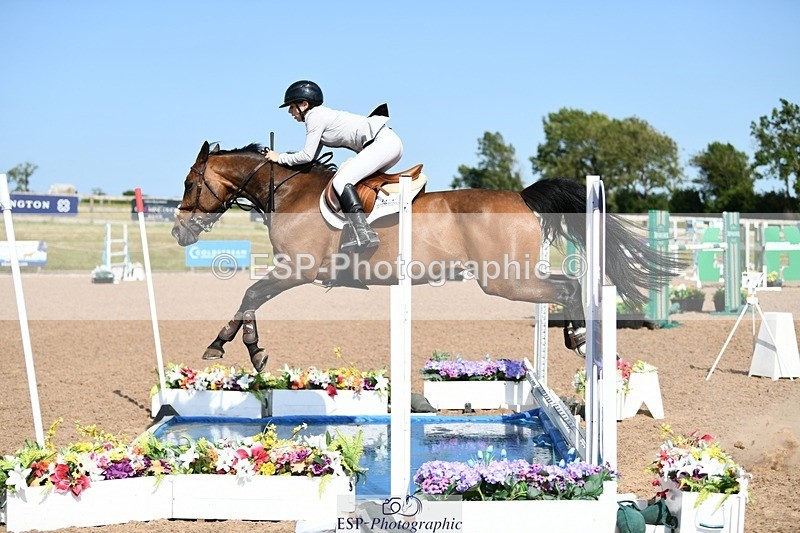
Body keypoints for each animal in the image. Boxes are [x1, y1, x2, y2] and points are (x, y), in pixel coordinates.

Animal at [171, 141, 678, 372]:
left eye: (190, 183)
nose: (178, 231)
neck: (288, 192)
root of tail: (520, 195)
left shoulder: (297, 270)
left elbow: (250, 293)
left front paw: (232, 346)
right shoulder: (290, 272)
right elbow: (251, 297)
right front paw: (244, 347)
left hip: (505, 279)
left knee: (568, 285)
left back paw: (578, 337)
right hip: (512, 275)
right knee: (565, 285)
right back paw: (578, 336)